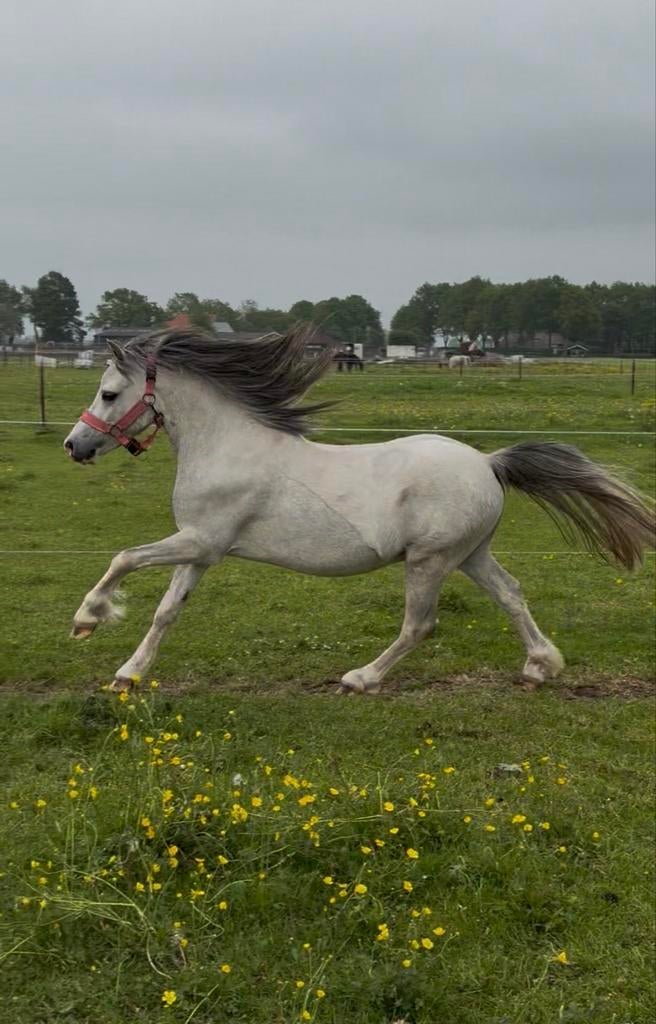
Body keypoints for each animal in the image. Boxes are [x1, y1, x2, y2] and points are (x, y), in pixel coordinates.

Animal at [63, 327, 655, 693]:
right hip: (470, 555)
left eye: (109, 393)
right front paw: (128, 674)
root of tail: (489, 463)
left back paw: (361, 678)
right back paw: (539, 667)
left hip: (430, 561)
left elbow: (123, 557)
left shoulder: (201, 540)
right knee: (510, 594)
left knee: (419, 624)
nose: (75, 446)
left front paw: (88, 619)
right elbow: (167, 611)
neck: (226, 446)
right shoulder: (201, 550)